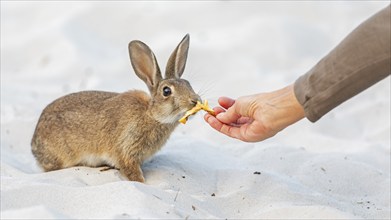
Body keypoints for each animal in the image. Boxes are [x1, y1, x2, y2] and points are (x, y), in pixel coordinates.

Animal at [31, 34, 202, 182]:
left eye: (188, 83)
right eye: (166, 91)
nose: (195, 100)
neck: (151, 115)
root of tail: (34, 143)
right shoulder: (126, 149)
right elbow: (131, 171)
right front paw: (141, 182)